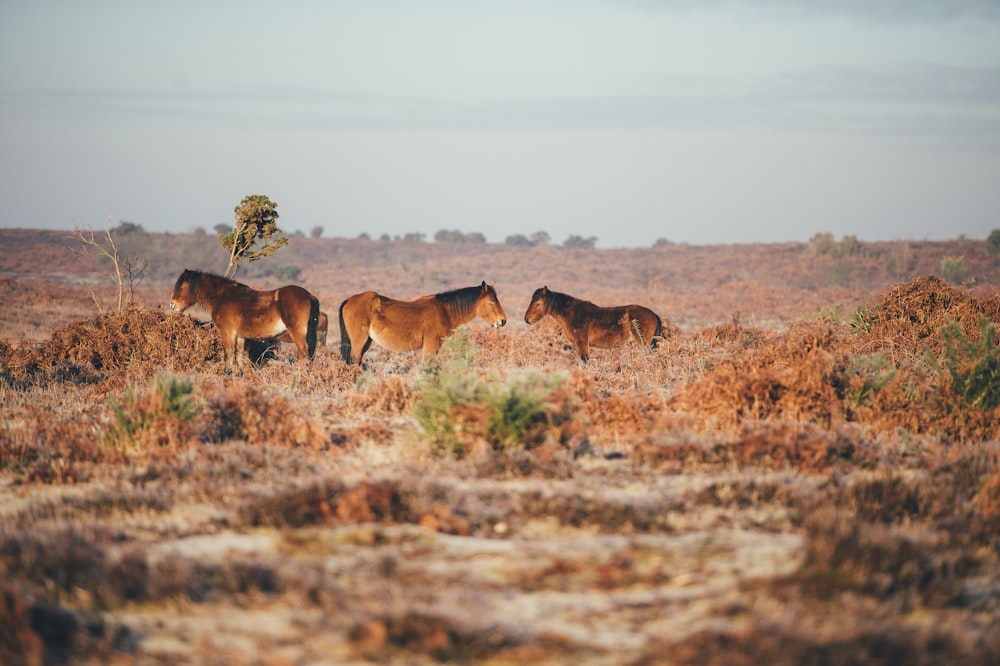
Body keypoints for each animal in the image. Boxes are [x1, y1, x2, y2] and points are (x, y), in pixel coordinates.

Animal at [171, 268, 320, 374]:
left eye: (181, 287)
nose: (172, 305)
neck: (223, 297)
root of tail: (309, 296)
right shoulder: (240, 337)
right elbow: (239, 357)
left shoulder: (228, 334)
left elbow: (229, 355)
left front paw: (227, 375)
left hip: (297, 333)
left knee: (303, 353)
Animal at [340, 278, 508, 366]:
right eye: (492, 301)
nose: (503, 321)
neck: (444, 310)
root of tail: (349, 299)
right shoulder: (431, 345)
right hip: (359, 342)